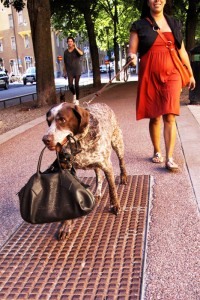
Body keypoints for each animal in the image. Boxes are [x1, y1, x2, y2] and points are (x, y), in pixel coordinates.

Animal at [42, 102, 127, 240]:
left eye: (62, 120)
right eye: (49, 121)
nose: (45, 139)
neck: (78, 143)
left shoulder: (107, 165)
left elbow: (112, 189)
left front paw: (115, 206)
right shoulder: (66, 171)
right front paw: (66, 225)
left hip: (117, 143)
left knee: (121, 161)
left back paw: (124, 176)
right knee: (99, 175)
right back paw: (97, 192)